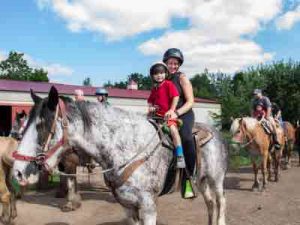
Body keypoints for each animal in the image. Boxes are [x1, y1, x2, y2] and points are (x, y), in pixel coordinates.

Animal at [11, 87, 227, 225]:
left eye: (42, 125)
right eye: (26, 123)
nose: (18, 173)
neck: (127, 148)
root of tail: (216, 132)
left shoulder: (148, 206)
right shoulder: (128, 206)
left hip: (216, 180)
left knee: (220, 201)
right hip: (201, 179)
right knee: (209, 203)